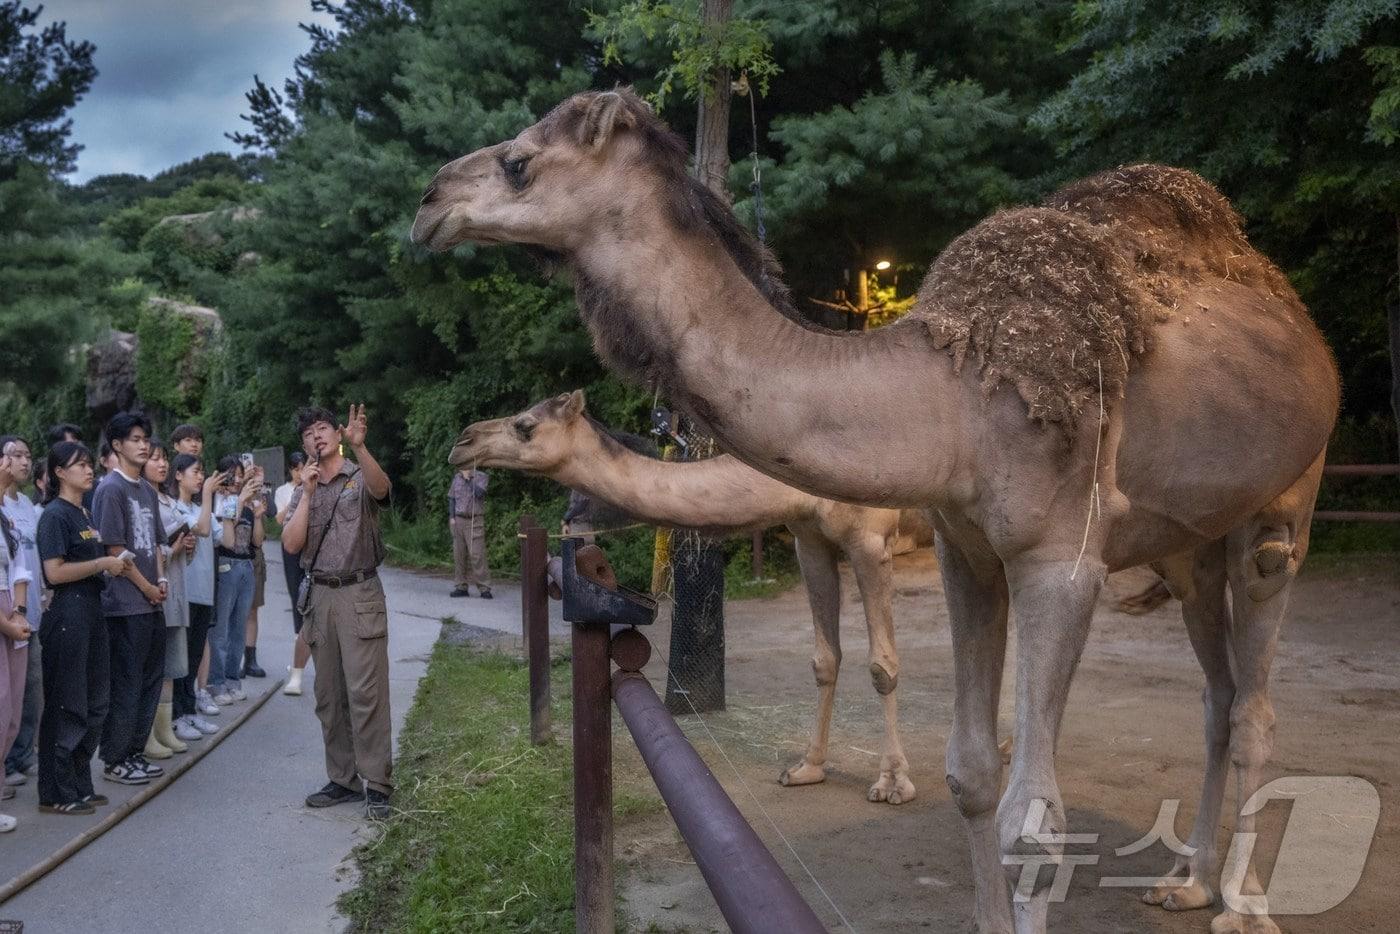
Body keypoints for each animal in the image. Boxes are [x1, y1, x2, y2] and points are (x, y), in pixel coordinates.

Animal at [453, 392, 924, 806]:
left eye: (525, 425)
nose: (463, 442)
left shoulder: (869, 539)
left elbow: (881, 665)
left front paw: (892, 783)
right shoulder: (808, 539)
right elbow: (825, 659)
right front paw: (807, 768)